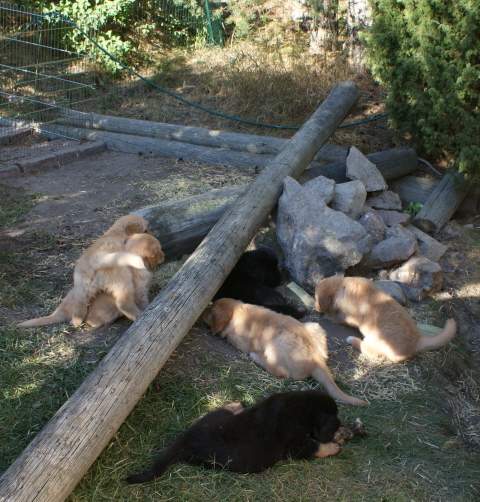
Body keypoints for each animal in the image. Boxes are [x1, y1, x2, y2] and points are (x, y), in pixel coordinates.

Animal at [16, 232, 164, 330]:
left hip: (79, 289)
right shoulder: (141, 291)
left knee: (78, 306)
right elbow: (143, 301)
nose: (164, 255)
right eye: (160, 249)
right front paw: (147, 308)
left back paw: (75, 321)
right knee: (123, 304)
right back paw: (137, 315)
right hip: (121, 282)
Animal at [124, 388, 342, 482]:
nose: (340, 425)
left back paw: (236, 404)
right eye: (334, 420)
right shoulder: (296, 445)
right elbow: (316, 446)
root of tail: (186, 440)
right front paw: (333, 447)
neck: (304, 405)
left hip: (213, 417)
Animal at [202, 300, 368, 406]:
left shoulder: (239, 340)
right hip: (315, 327)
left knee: (279, 371)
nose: (203, 311)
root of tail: (317, 360)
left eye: (210, 312)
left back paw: (256, 357)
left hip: (274, 346)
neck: (236, 312)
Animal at [316, 276, 458, 362]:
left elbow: (337, 317)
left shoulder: (347, 316)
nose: (315, 307)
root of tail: (417, 341)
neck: (341, 285)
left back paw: (352, 340)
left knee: (373, 352)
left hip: (377, 337)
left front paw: (326, 315)